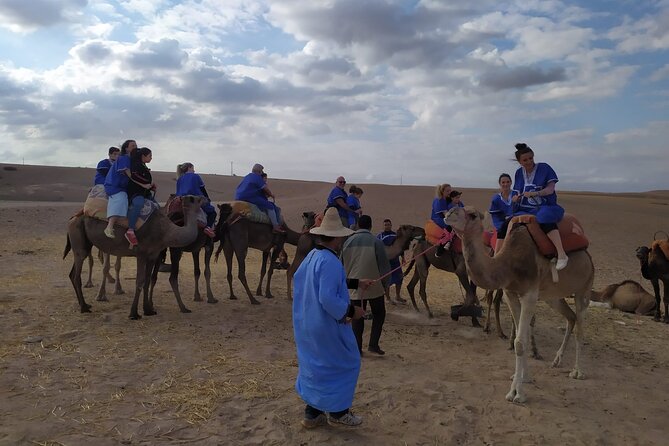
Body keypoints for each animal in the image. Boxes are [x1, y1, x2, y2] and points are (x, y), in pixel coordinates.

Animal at [65, 195, 207, 318]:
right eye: (195, 198)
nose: (204, 198)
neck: (166, 232)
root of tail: (72, 218)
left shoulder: (153, 255)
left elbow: (147, 281)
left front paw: (148, 310)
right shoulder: (141, 254)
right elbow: (139, 281)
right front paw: (134, 313)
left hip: (83, 243)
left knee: (72, 273)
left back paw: (85, 304)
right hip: (79, 240)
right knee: (77, 274)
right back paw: (84, 307)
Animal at [444, 206, 596, 404]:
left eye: (472, 215)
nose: (448, 214)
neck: (509, 263)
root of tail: (588, 255)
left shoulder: (529, 295)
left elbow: (520, 341)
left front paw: (517, 393)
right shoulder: (510, 293)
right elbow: (518, 337)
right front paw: (524, 377)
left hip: (584, 288)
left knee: (580, 326)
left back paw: (577, 371)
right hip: (552, 296)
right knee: (570, 317)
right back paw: (557, 360)